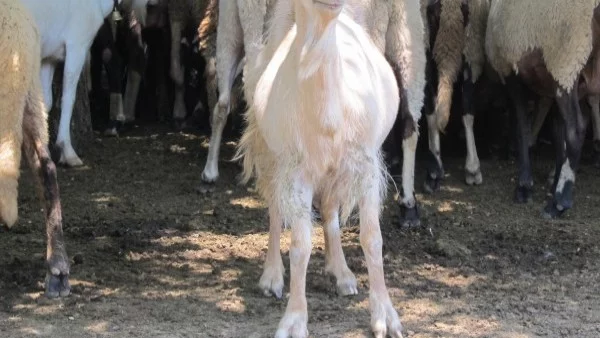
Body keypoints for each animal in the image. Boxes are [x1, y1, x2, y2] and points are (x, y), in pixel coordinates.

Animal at [234, 0, 426, 336]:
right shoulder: (296, 170)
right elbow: (300, 246)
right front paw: (294, 319)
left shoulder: (365, 165)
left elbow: (372, 239)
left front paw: (385, 316)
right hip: (270, 149)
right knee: (275, 208)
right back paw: (272, 276)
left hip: (336, 168)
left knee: (329, 209)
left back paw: (342, 273)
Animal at [486, 0, 600, 217]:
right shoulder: (549, 86)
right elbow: (557, 133)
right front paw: (554, 179)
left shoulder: (513, 72)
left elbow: (522, 127)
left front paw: (524, 186)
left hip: (567, 60)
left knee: (576, 129)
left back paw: (559, 202)